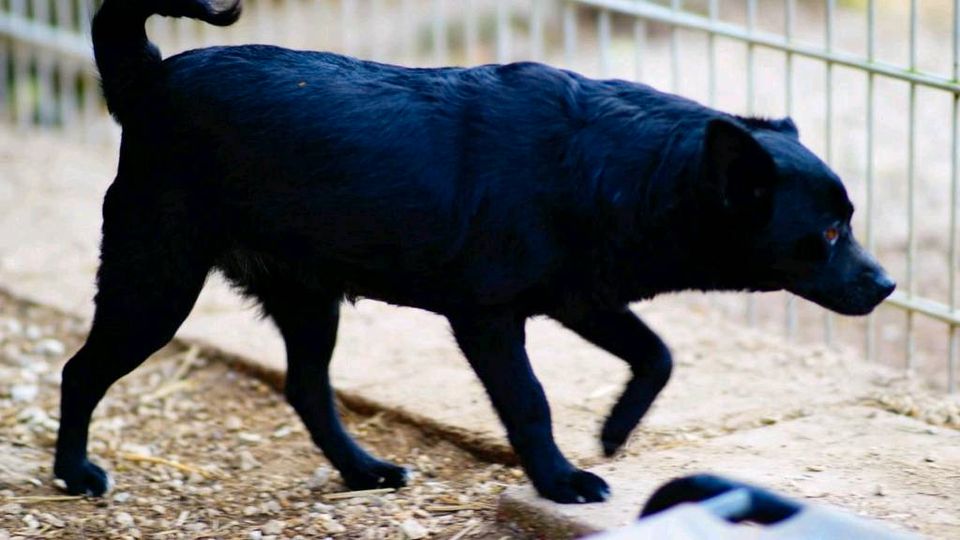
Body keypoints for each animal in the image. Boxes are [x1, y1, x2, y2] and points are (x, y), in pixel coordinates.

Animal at [54, 0, 892, 504]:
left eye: (849, 222)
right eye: (828, 234)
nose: (884, 286)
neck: (623, 168)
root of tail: (147, 78)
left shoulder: (582, 297)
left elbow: (656, 355)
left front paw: (616, 432)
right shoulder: (488, 320)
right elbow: (531, 402)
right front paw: (560, 480)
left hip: (308, 301)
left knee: (307, 390)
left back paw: (363, 471)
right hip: (154, 287)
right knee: (79, 371)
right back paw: (72, 473)